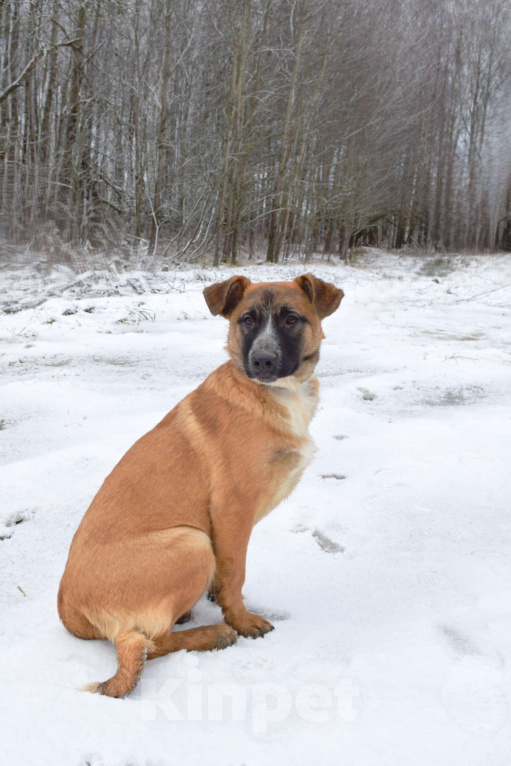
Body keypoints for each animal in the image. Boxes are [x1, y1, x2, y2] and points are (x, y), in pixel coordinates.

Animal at [59, 272, 344, 700]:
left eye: (292, 319)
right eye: (246, 320)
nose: (262, 361)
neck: (275, 393)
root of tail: (71, 614)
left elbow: (228, 572)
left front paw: (218, 596)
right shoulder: (232, 509)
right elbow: (236, 573)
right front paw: (242, 620)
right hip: (191, 542)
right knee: (150, 641)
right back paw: (214, 634)